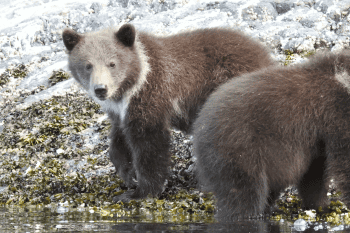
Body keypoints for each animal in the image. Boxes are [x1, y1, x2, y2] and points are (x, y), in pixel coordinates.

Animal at [61, 24, 274, 202]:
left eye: (112, 63)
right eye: (88, 65)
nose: (101, 89)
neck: (131, 87)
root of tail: (265, 56)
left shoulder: (153, 95)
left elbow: (150, 145)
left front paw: (139, 192)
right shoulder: (120, 112)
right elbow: (119, 140)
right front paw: (127, 174)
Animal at [193, 50, 350, 220]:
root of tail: (199, 125)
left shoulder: (318, 138)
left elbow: (315, 173)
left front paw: (321, 205)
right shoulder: (336, 112)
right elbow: (344, 163)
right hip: (240, 148)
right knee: (245, 192)